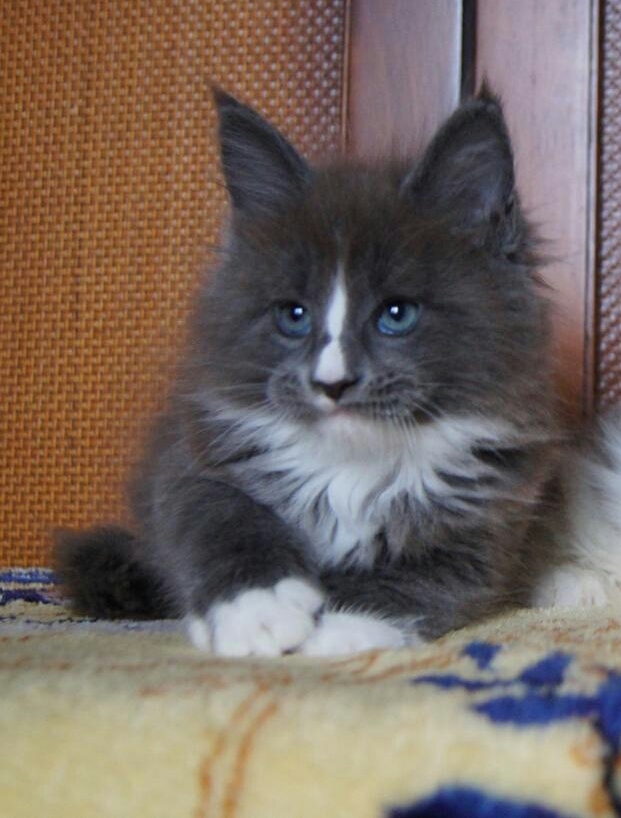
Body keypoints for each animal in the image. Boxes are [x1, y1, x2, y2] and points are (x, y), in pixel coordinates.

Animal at [55, 86, 620, 652]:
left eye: (397, 314)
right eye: (293, 316)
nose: (332, 382)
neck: (353, 470)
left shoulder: (485, 525)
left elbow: (409, 582)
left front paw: (332, 624)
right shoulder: (193, 459)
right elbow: (218, 521)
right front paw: (257, 610)